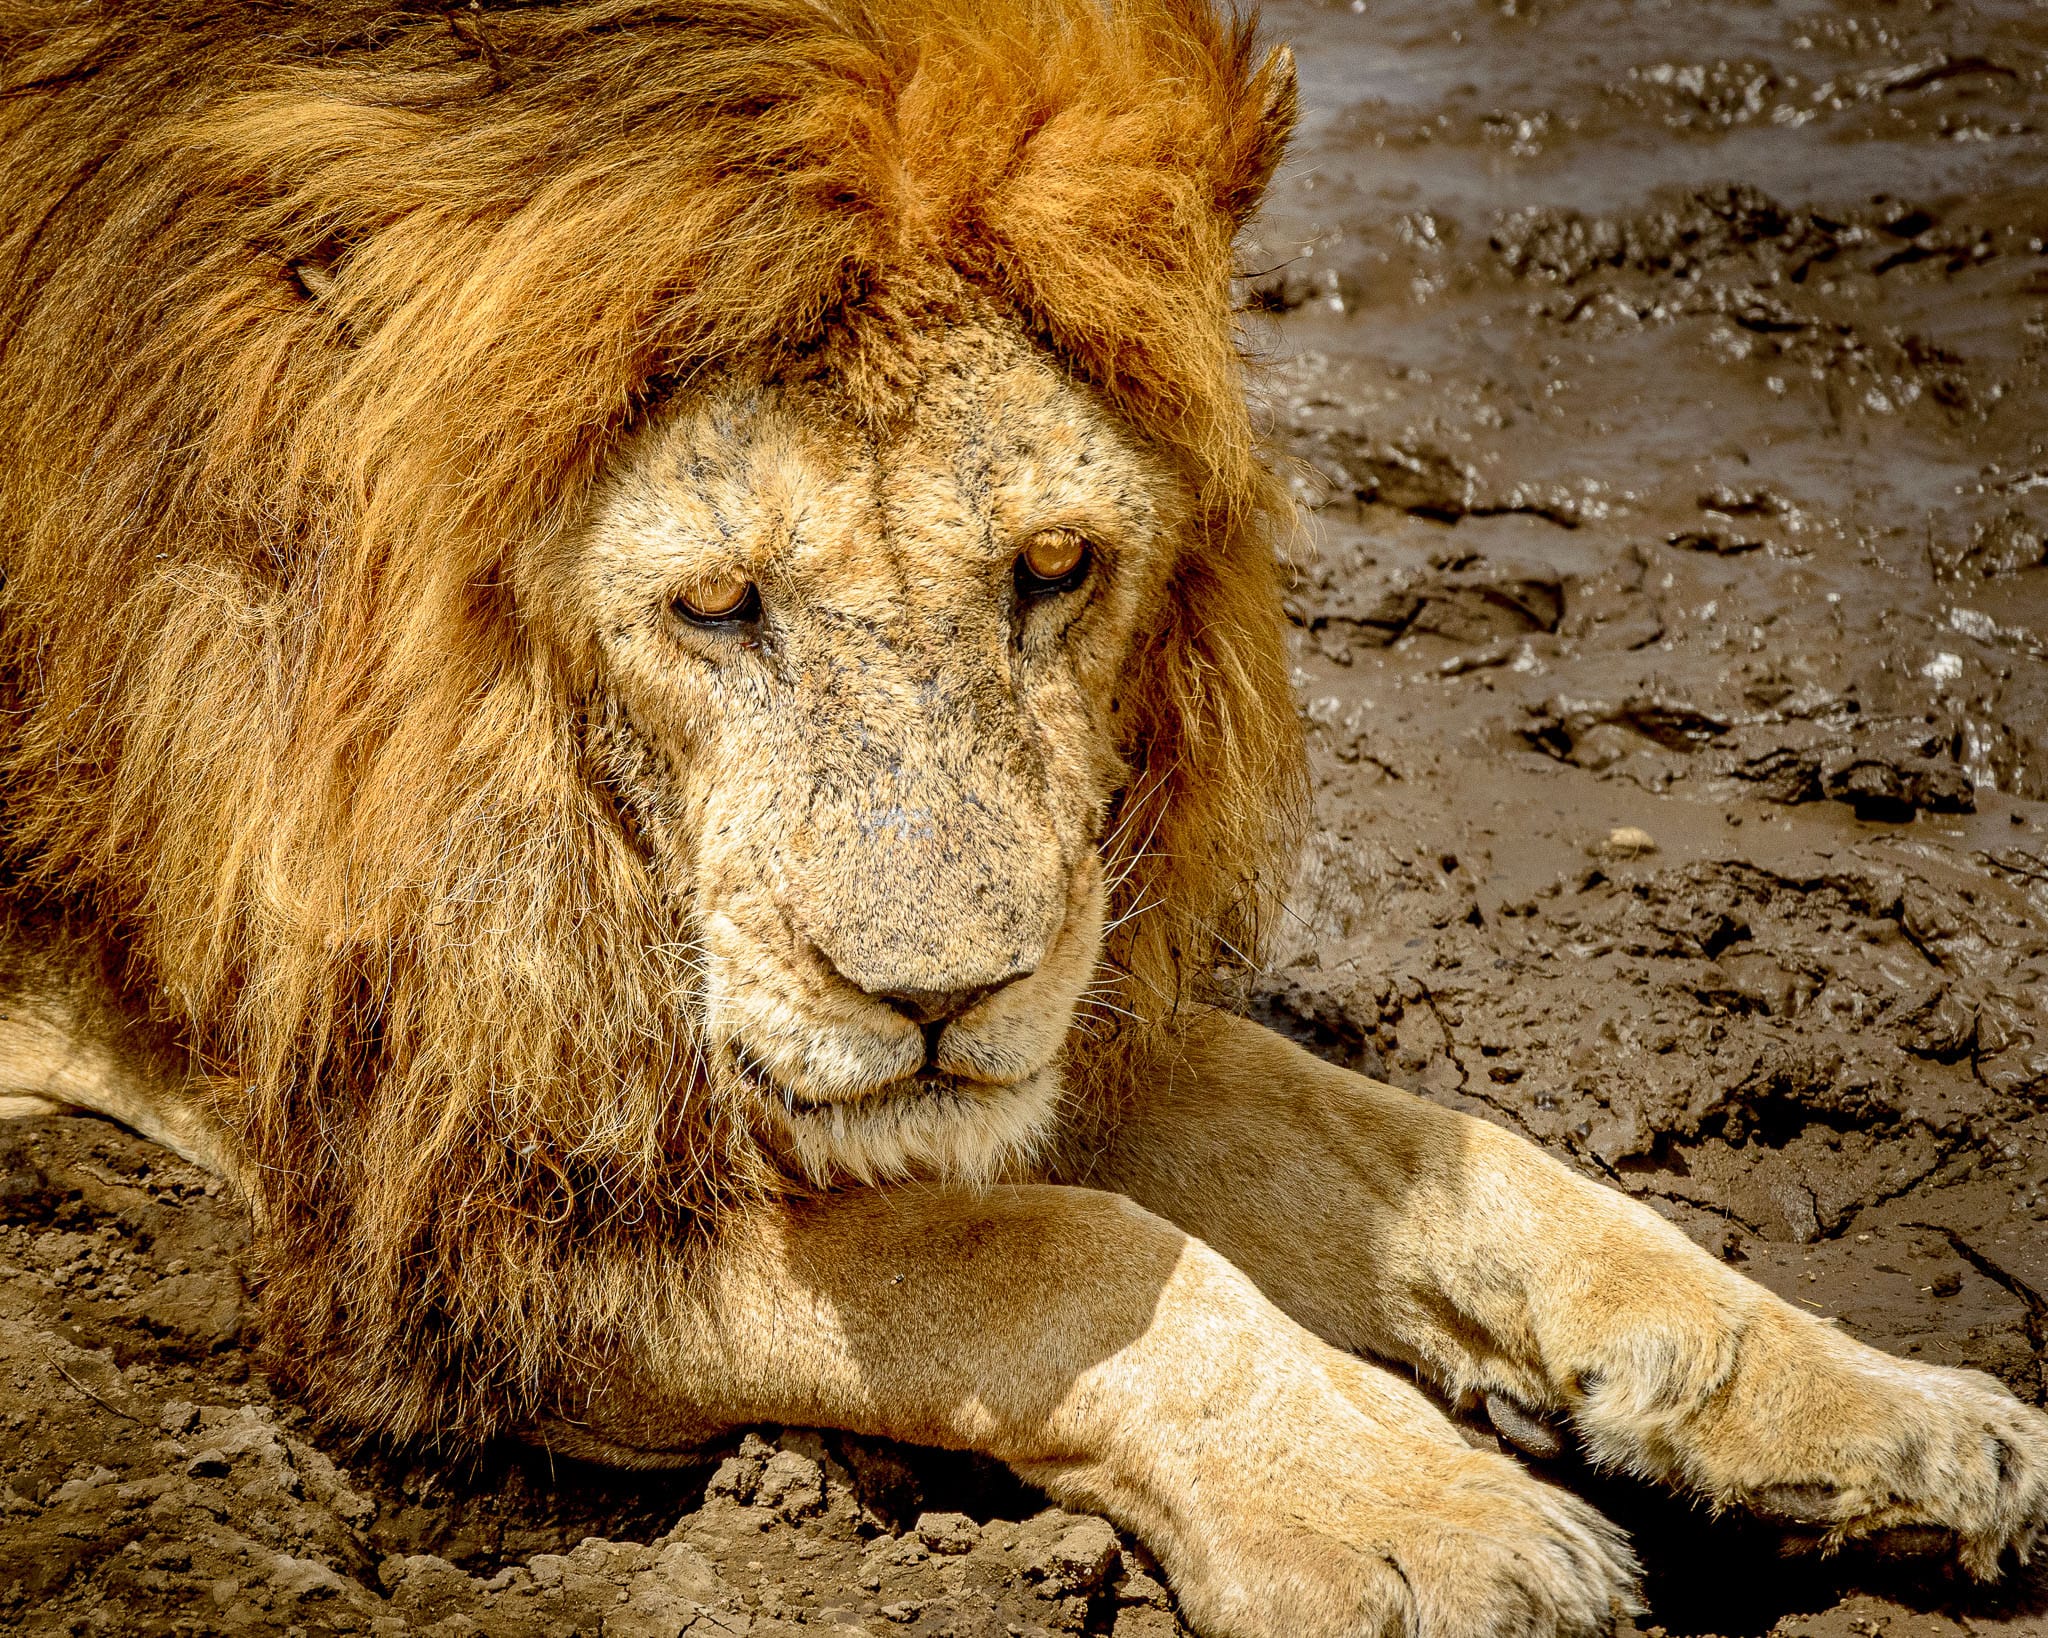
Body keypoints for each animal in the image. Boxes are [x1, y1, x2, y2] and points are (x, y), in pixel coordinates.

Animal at [1, 1, 2043, 1633]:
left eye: (1053, 568)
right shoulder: (442, 1222)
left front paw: (1875, 1412)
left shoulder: (1060, 1003)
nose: (934, 1002)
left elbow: (1410, 1142)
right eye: (715, 606)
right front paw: (1427, 1517)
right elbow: (1056, 1251)